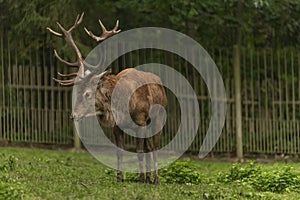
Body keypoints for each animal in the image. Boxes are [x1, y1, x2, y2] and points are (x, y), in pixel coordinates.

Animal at [47, 12, 168, 184]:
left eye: (88, 93)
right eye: (77, 91)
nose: (73, 115)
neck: (122, 107)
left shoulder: (141, 121)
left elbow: (138, 151)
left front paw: (140, 179)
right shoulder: (117, 126)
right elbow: (119, 152)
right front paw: (120, 177)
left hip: (158, 118)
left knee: (155, 148)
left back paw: (155, 179)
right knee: (149, 148)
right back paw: (149, 177)